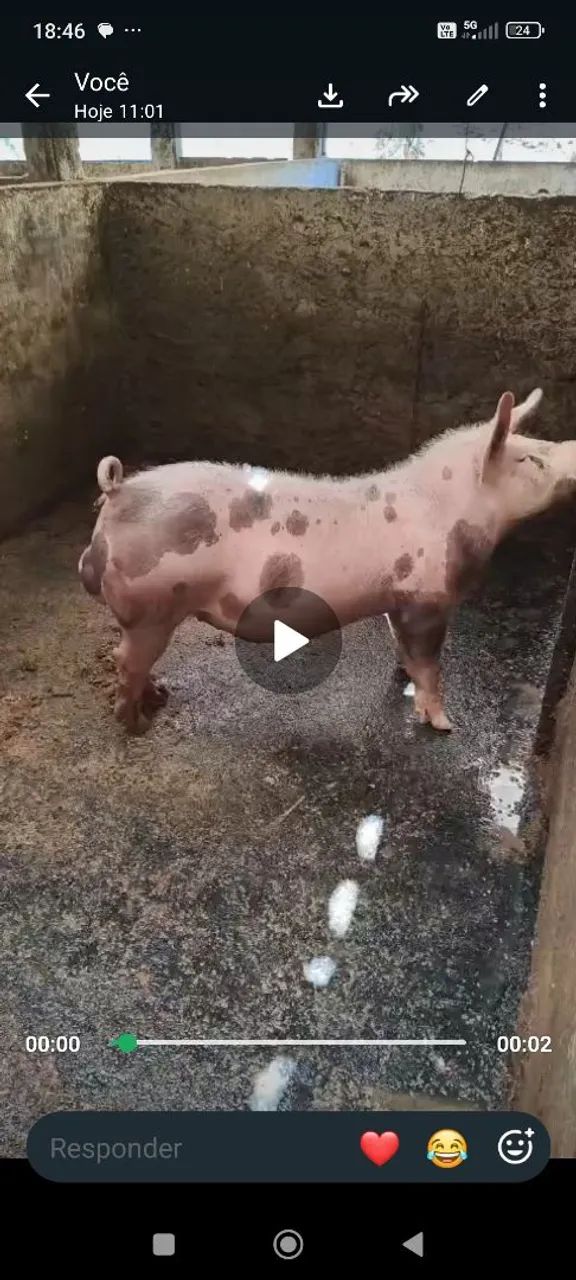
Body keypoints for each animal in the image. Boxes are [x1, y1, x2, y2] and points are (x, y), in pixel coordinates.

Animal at [79, 388, 576, 735]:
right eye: (531, 459)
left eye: (538, 442)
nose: (570, 447)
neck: (450, 514)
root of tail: (119, 492)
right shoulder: (428, 598)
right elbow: (430, 664)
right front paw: (443, 725)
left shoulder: (399, 598)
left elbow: (403, 645)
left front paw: (401, 673)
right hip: (152, 607)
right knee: (126, 660)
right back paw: (138, 723)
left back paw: (160, 697)